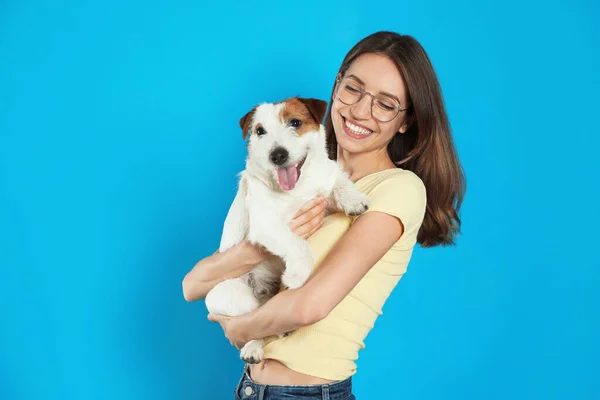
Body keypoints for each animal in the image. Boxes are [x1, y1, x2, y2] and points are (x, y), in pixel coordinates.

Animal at [209, 96, 372, 362]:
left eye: (295, 123)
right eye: (260, 131)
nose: (277, 155)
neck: (298, 188)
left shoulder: (325, 186)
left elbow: (339, 181)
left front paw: (353, 199)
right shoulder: (268, 225)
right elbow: (299, 246)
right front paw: (296, 276)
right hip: (232, 296)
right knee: (252, 323)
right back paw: (253, 347)